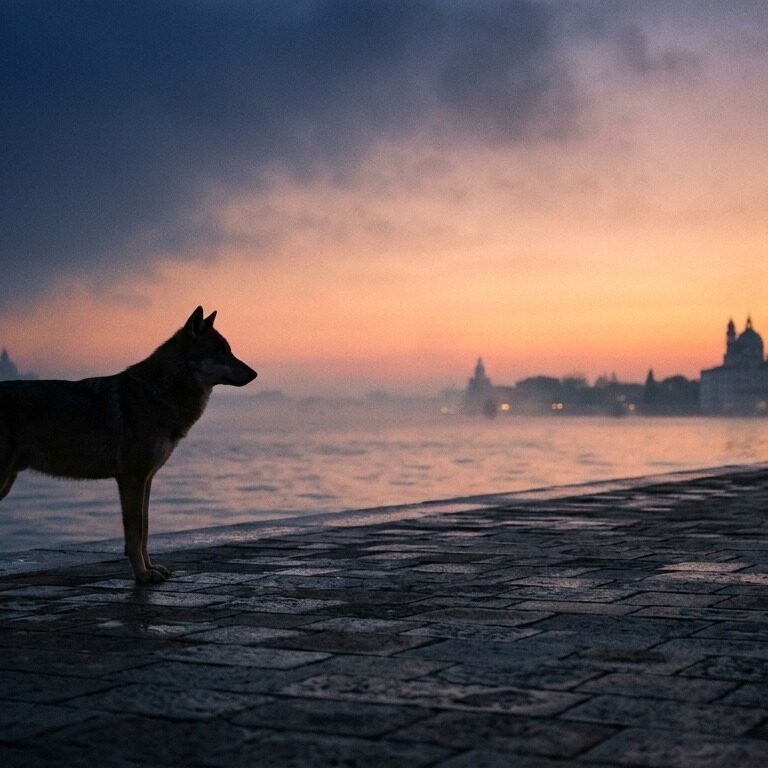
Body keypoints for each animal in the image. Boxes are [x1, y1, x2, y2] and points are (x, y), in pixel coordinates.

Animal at [0, 306, 256, 583]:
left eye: (229, 350)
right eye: (221, 352)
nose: (254, 374)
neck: (159, 393)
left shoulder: (147, 479)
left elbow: (145, 529)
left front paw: (151, 569)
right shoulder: (132, 478)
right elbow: (136, 532)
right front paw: (142, 575)